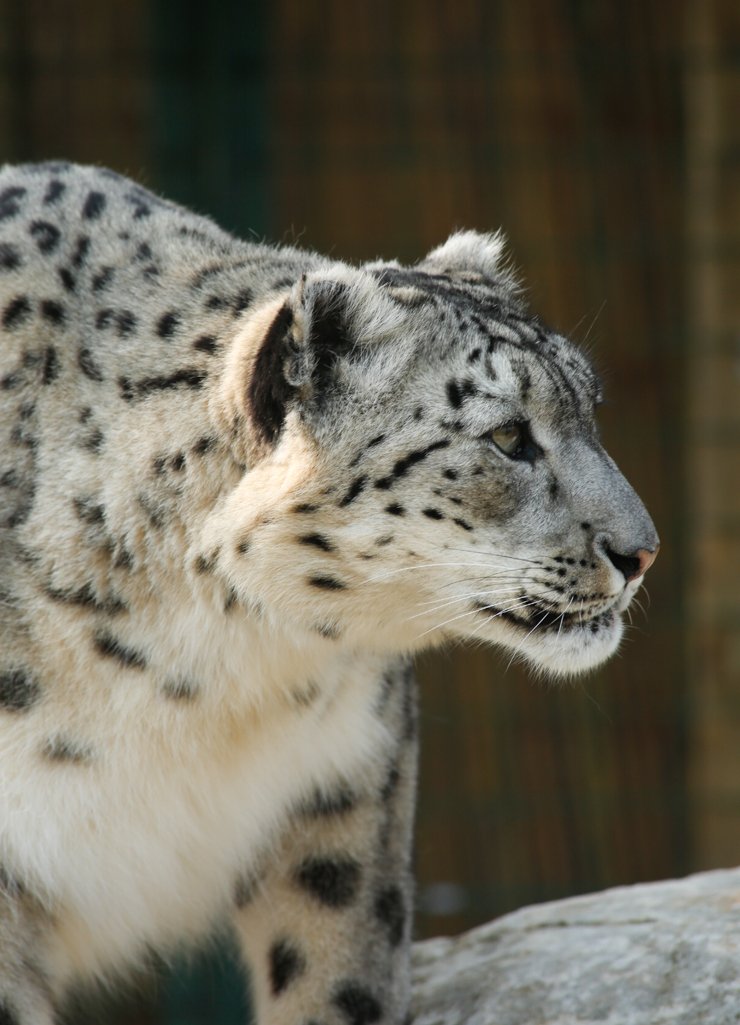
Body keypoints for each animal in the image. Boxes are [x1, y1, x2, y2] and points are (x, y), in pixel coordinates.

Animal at [0, 162, 658, 1025]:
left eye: (592, 409)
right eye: (508, 436)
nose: (642, 550)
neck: (200, 674)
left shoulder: (346, 794)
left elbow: (335, 976)